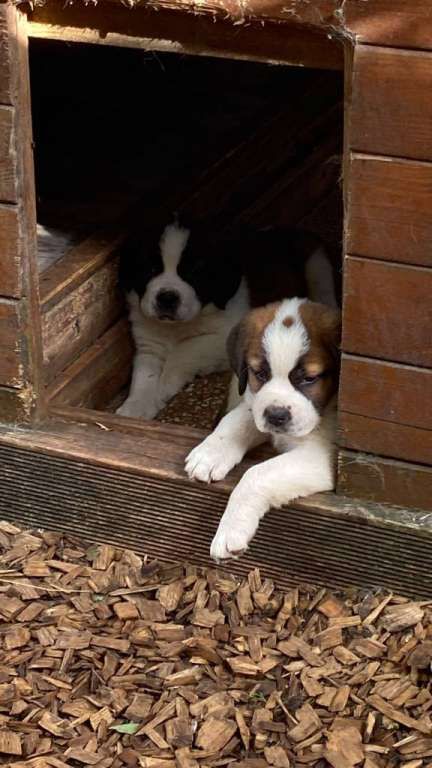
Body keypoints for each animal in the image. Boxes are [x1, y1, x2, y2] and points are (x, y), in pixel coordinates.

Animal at [116, 216, 336, 420]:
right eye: (150, 270)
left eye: (194, 273)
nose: (167, 298)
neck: (177, 327)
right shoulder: (148, 340)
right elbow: (143, 373)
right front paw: (137, 405)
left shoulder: (226, 337)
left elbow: (184, 350)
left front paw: (165, 384)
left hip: (318, 269)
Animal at [186, 296, 340, 560]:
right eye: (260, 374)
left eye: (309, 379)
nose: (277, 416)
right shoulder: (256, 403)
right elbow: (238, 419)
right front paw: (210, 454)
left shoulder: (321, 456)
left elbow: (257, 474)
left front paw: (230, 531)